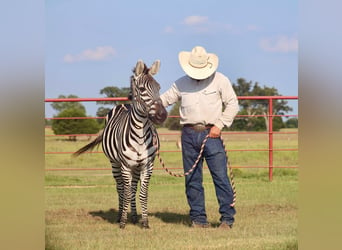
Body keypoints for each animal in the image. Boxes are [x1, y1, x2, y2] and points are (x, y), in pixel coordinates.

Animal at [73, 60, 167, 229]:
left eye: (159, 88)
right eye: (142, 89)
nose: (162, 115)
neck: (140, 136)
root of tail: (123, 105)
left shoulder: (147, 166)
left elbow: (143, 194)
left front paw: (145, 222)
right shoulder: (125, 165)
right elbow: (126, 191)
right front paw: (123, 222)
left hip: (136, 167)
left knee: (133, 188)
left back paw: (134, 216)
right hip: (115, 163)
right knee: (121, 188)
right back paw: (119, 216)